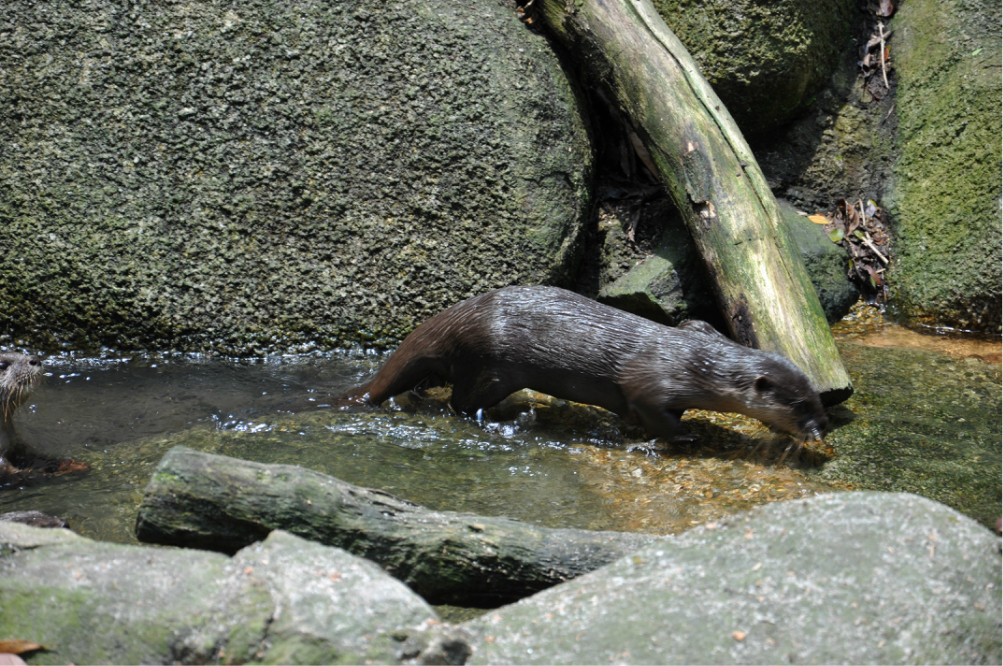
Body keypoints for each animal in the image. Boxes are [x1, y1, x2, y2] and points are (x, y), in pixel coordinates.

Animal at [345, 282, 830, 439]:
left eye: (818, 401)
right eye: (800, 405)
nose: (820, 429)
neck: (694, 363)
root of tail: (457, 318)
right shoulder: (652, 384)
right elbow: (657, 417)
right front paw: (689, 434)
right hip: (489, 367)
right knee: (459, 403)